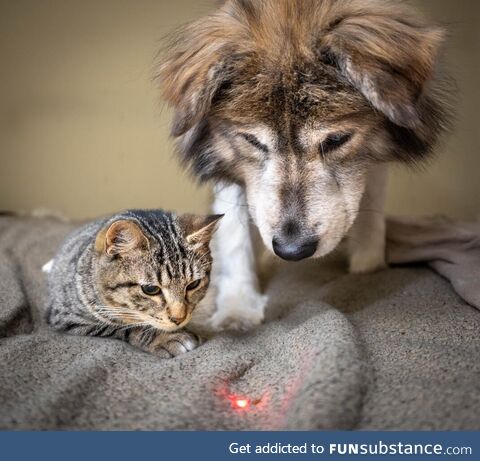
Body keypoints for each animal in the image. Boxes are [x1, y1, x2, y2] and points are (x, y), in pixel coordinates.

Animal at [46, 208, 222, 356]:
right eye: (150, 289)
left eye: (193, 284)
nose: (178, 319)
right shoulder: (68, 317)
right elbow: (127, 327)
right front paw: (166, 338)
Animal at [158, 0, 450, 330]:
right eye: (253, 141)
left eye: (336, 139)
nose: (292, 251)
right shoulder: (230, 168)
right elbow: (235, 236)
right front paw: (238, 309)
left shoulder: (371, 166)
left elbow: (370, 212)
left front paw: (368, 269)